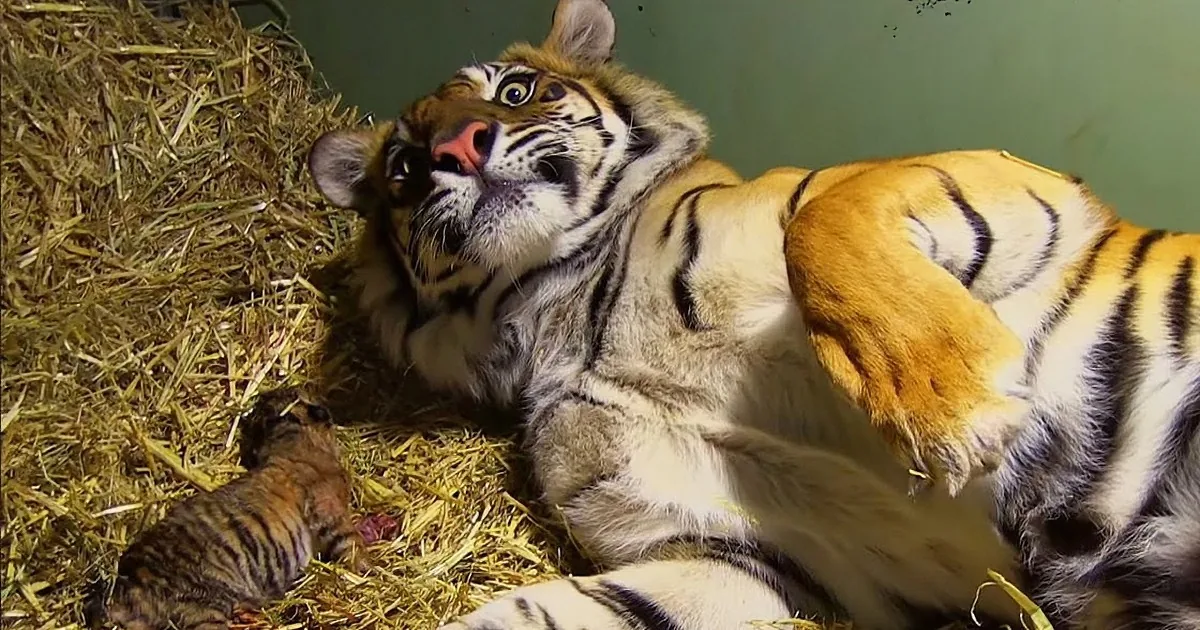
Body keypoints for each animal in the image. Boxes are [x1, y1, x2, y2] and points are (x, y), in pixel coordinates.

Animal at [85, 389, 368, 630]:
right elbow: (351, 545)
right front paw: (366, 571)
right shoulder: (330, 511)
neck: (289, 439)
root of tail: (129, 585)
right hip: (202, 608)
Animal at [304, 0, 1199, 627]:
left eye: (516, 90)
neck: (560, 310)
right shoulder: (754, 555)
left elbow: (824, 224)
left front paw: (955, 413)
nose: (455, 151)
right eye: (404, 167)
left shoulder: (1014, 183)